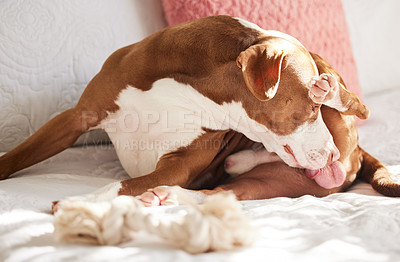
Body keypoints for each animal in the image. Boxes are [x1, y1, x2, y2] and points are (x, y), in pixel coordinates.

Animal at [0, 15, 372, 205]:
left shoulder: (175, 167)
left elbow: (125, 185)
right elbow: (18, 155)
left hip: (281, 179)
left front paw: (80, 202)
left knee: (222, 194)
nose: (329, 156)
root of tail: (356, 155)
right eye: (312, 108)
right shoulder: (74, 118)